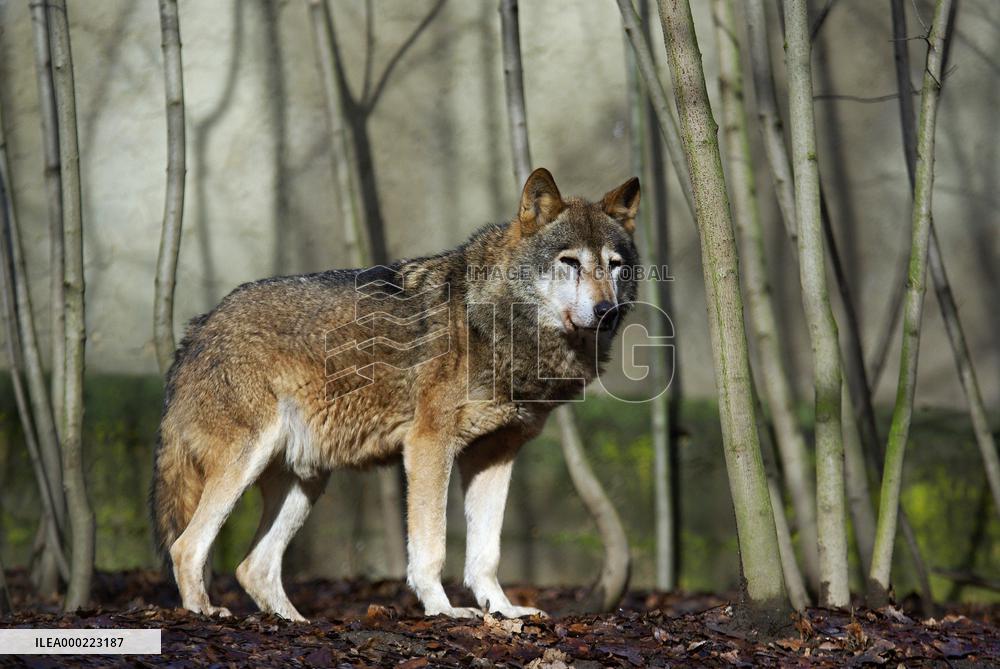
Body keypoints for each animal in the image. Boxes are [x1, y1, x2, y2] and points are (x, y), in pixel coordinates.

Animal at [150, 168, 640, 621]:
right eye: (570, 262)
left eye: (615, 265)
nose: (607, 311)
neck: (494, 323)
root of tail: (197, 328)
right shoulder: (428, 446)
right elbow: (432, 547)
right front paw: (444, 611)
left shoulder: (495, 454)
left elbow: (486, 555)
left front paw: (502, 611)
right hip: (245, 463)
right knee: (186, 547)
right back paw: (204, 612)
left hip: (306, 480)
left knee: (253, 567)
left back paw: (294, 622)